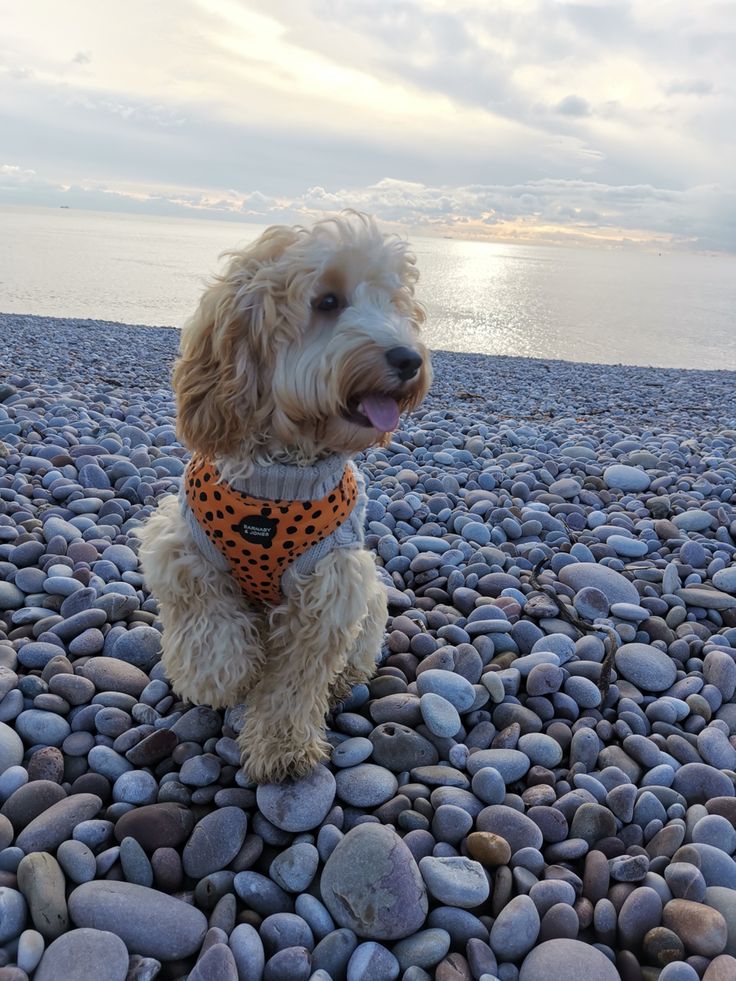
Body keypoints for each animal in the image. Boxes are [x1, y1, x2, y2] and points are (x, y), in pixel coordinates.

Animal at [138, 211, 432, 784]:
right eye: (327, 301)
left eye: (393, 303)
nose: (409, 358)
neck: (280, 477)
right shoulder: (181, 546)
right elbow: (208, 623)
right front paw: (222, 676)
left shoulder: (331, 587)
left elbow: (295, 682)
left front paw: (282, 748)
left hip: (371, 602)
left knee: (355, 654)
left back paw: (342, 682)